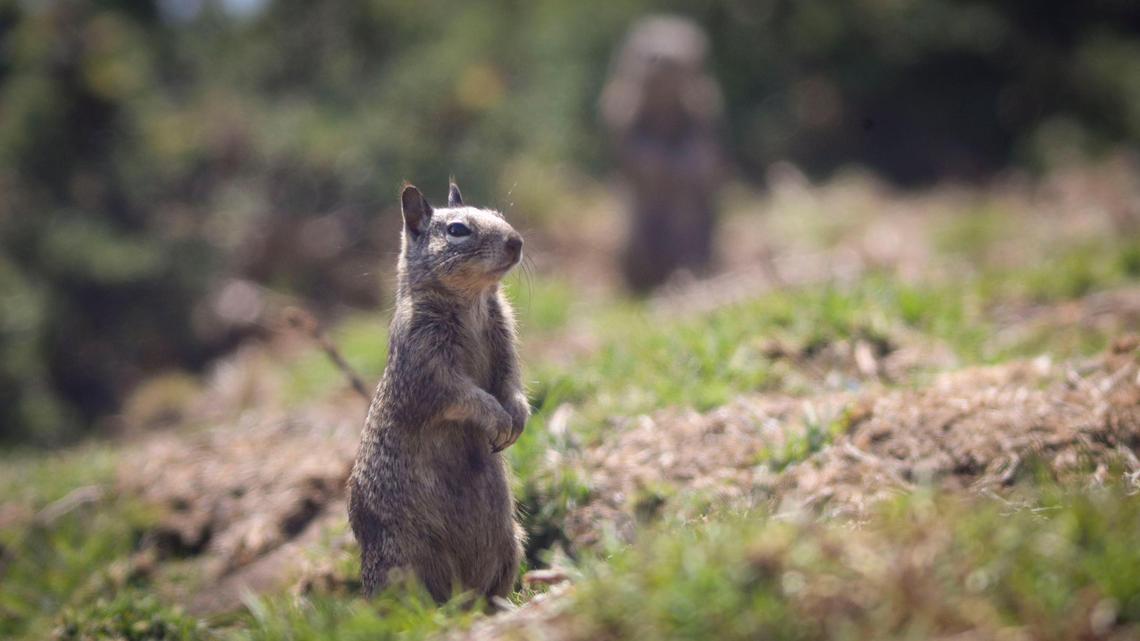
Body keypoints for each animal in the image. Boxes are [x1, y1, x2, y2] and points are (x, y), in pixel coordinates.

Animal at [347, 182, 529, 605]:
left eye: (498, 213)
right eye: (458, 230)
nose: (516, 242)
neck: (472, 300)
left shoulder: (505, 338)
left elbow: (511, 381)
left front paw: (517, 417)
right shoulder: (429, 366)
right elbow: (462, 396)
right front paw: (497, 417)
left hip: (512, 542)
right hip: (409, 558)